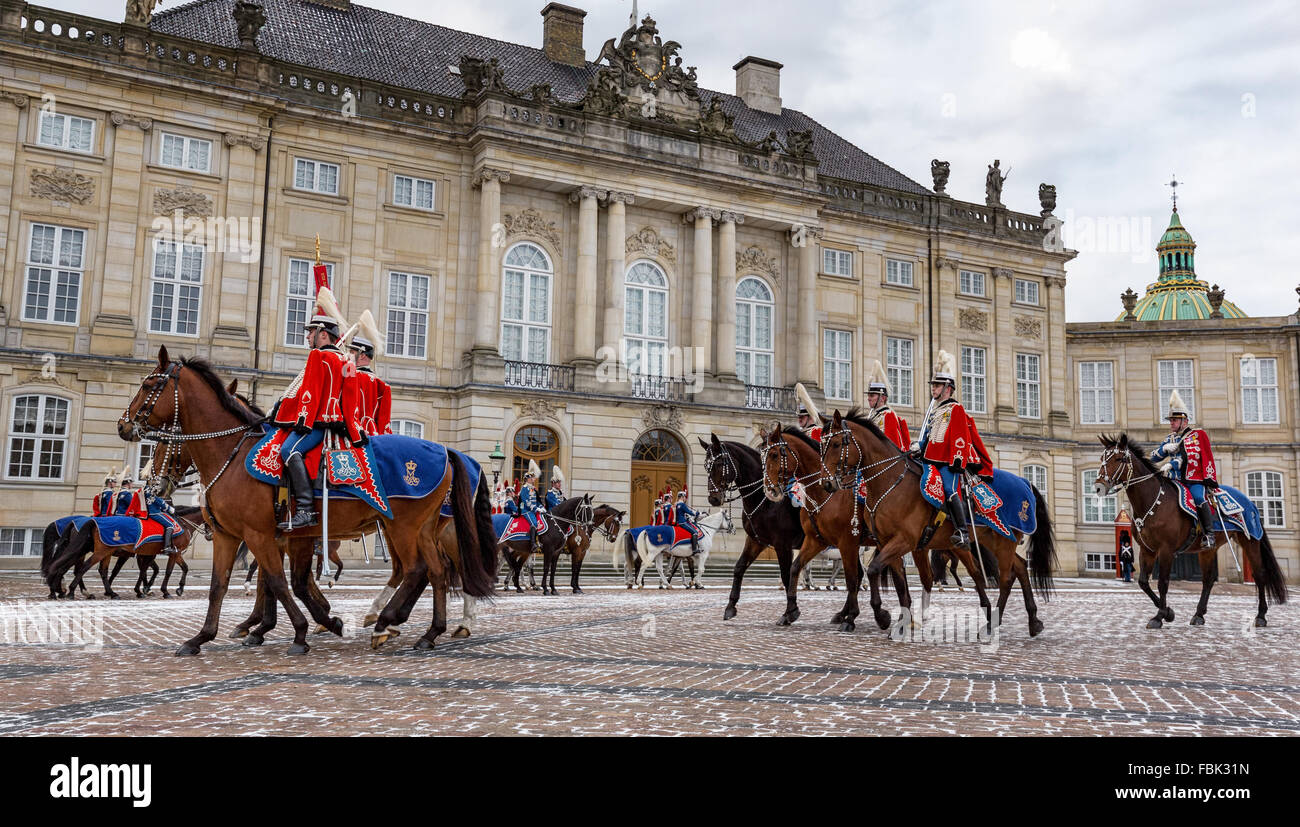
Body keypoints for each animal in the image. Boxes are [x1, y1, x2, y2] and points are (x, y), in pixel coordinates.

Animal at [118, 345, 496, 655]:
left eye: (149, 385)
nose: (124, 426)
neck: (233, 452)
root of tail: (446, 451)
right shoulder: (243, 536)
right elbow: (224, 586)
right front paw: (204, 637)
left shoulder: (262, 535)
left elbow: (277, 582)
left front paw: (298, 630)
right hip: (421, 529)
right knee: (437, 571)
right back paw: (428, 631)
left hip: (405, 527)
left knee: (421, 569)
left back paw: (390, 621)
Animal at [821, 408, 1055, 639]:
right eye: (822, 446)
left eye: (836, 444)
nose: (827, 483)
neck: (891, 483)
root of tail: (1024, 481)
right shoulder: (887, 543)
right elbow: (897, 583)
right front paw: (900, 623)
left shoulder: (902, 541)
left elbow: (872, 570)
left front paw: (881, 617)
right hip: (993, 540)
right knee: (1018, 568)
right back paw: (1033, 621)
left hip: (1004, 540)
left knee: (1006, 578)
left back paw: (992, 625)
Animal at [1092, 431, 1284, 626]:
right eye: (1102, 458)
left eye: (1119, 458)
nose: (1099, 487)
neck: (1154, 501)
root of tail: (1250, 503)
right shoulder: (1147, 550)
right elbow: (1143, 582)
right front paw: (1168, 612)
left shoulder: (1166, 550)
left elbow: (1163, 582)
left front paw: (1159, 616)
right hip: (1208, 549)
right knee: (1208, 579)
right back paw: (1199, 614)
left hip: (1250, 541)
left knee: (1260, 575)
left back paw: (1261, 616)